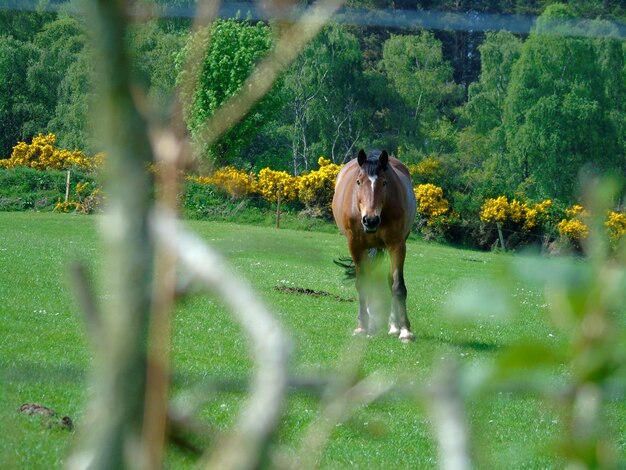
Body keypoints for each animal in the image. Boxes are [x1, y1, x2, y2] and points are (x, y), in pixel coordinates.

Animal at [332, 148, 414, 342]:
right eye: (358, 181)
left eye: (384, 182)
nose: (370, 220)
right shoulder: (355, 245)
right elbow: (362, 283)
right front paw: (362, 326)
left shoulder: (397, 245)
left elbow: (398, 286)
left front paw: (405, 330)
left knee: (390, 281)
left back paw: (394, 325)